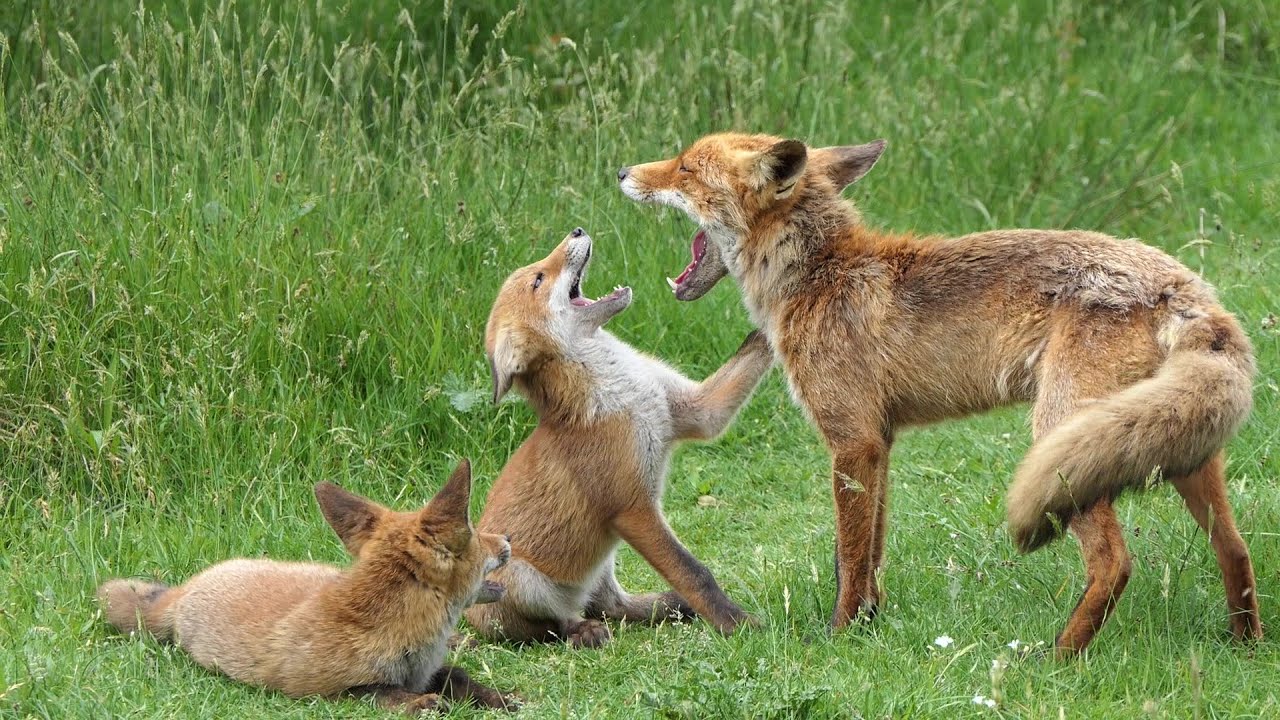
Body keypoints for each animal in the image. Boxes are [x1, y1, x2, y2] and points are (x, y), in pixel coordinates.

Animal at [97, 460, 518, 714]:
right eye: (475, 534)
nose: (508, 539)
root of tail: (187, 588)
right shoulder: (325, 692)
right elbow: (380, 693)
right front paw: (423, 703)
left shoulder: (431, 669)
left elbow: (460, 677)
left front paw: (500, 697)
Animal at [464, 227, 773, 647]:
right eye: (539, 280)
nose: (577, 230)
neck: (623, 392)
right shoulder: (632, 508)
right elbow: (696, 574)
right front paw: (736, 624)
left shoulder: (695, 411)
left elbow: (754, 347)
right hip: (524, 580)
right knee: (552, 626)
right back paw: (584, 633)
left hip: (603, 564)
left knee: (611, 606)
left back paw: (665, 606)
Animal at [618, 132, 1260, 656]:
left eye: (684, 168)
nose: (622, 171)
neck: (819, 275)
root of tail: (1182, 284)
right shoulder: (880, 442)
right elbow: (871, 553)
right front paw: (870, 625)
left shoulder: (851, 441)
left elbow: (848, 558)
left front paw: (840, 639)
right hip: (1173, 446)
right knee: (1234, 547)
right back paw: (1244, 645)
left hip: (1064, 439)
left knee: (1114, 563)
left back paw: (1056, 657)